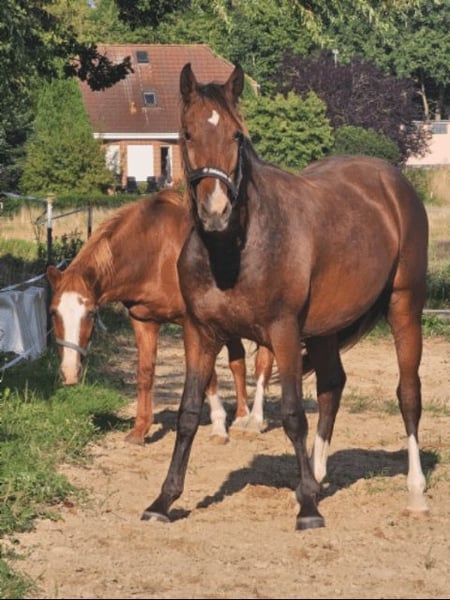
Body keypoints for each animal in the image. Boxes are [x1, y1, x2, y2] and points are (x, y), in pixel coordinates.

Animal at [46, 189, 274, 445]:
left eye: (91, 313)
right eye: (53, 312)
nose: (70, 373)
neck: (156, 254)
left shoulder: (192, 324)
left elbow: (209, 376)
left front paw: (217, 427)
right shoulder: (143, 321)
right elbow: (145, 372)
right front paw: (140, 430)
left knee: (264, 364)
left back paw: (254, 422)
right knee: (238, 362)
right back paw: (241, 417)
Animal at [142, 64, 429, 530]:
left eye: (237, 135)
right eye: (186, 133)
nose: (216, 211)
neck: (233, 249)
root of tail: (393, 182)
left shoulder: (284, 332)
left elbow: (293, 414)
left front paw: (308, 509)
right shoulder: (199, 333)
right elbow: (187, 414)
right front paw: (163, 500)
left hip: (404, 305)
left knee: (408, 393)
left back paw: (415, 492)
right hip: (327, 329)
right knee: (332, 386)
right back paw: (316, 476)